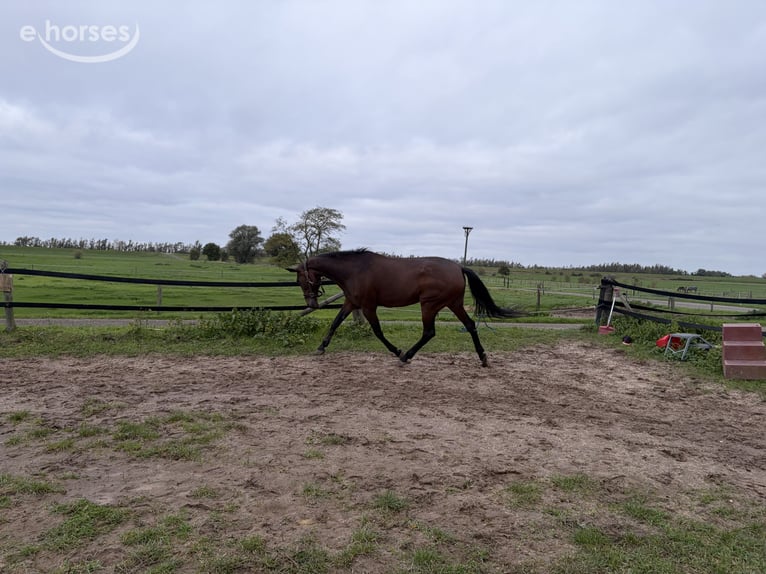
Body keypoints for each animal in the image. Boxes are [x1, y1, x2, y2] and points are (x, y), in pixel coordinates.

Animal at [287, 249, 523, 367]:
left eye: (301, 280)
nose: (311, 304)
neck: (355, 270)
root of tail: (458, 267)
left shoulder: (368, 306)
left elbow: (378, 331)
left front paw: (396, 351)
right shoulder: (351, 303)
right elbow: (335, 323)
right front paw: (321, 348)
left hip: (429, 305)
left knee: (429, 332)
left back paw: (405, 356)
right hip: (453, 303)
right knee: (471, 325)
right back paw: (483, 358)